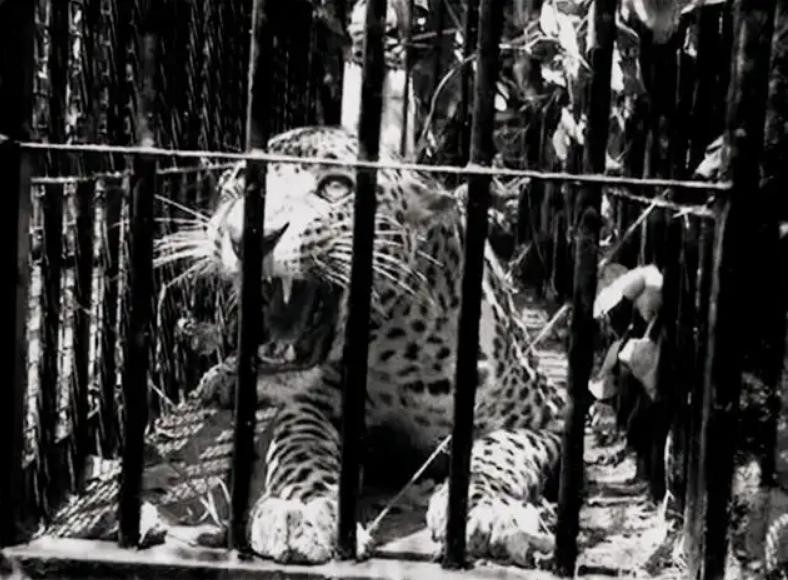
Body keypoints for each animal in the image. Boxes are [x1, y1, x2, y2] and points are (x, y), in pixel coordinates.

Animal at [156, 125, 567, 566]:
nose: (247, 236)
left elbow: (498, 451)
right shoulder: (308, 404)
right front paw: (300, 508)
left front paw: (486, 509)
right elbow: (300, 447)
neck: (394, 349)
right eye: (239, 184)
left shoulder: (546, 418)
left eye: (336, 187)